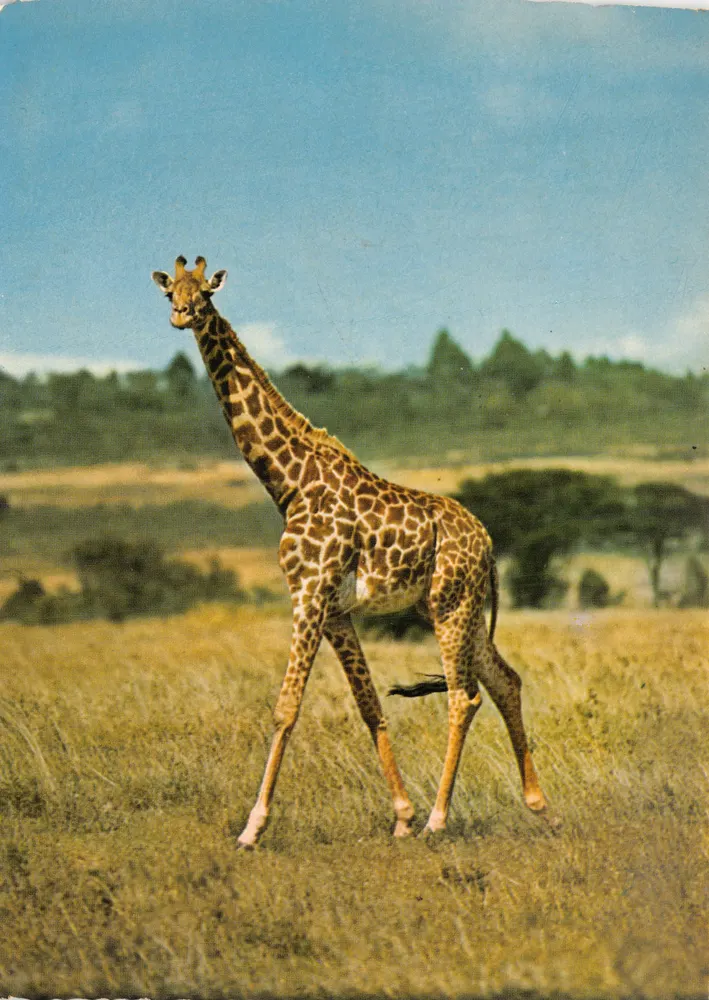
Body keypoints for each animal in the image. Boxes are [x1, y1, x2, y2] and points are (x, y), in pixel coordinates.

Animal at [152, 256, 549, 848]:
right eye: (168, 291)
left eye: (205, 292)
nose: (182, 314)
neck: (289, 483)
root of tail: (489, 543)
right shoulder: (336, 610)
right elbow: (368, 705)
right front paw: (401, 815)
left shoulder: (308, 595)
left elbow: (285, 708)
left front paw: (253, 827)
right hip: (462, 608)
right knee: (505, 680)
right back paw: (538, 803)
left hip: (451, 608)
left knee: (464, 696)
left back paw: (439, 819)